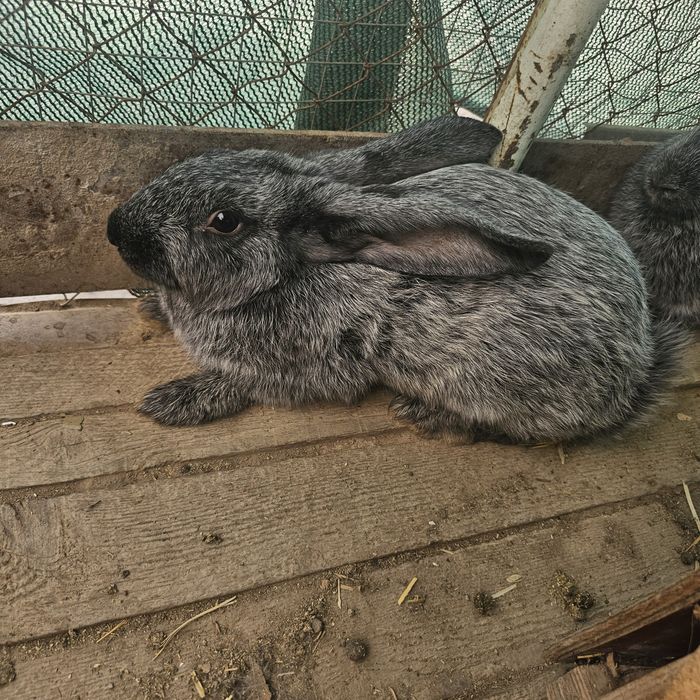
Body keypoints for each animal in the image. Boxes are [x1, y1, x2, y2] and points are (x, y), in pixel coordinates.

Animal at [107, 117, 686, 445]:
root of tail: (634, 379)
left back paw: (427, 416)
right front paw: (149, 305)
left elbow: (244, 383)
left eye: (224, 221)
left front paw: (173, 401)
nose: (115, 229)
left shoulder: (315, 365)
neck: (285, 275)